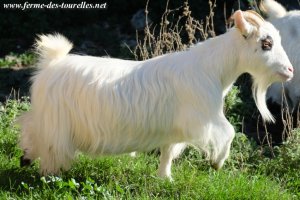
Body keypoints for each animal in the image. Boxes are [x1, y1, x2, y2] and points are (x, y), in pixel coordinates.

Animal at [18, 9, 292, 180]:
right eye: (266, 43)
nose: (290, 70)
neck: (211, 69)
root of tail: (52, 62)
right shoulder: (202, 118)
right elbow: (229, 132)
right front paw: (217, 162)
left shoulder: (175, 128)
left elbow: (168, 152)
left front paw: (165, 178)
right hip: (56, 122)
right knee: (48, 143)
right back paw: (49, 175)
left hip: (46, 117)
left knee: (30, 128)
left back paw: (26, 158)